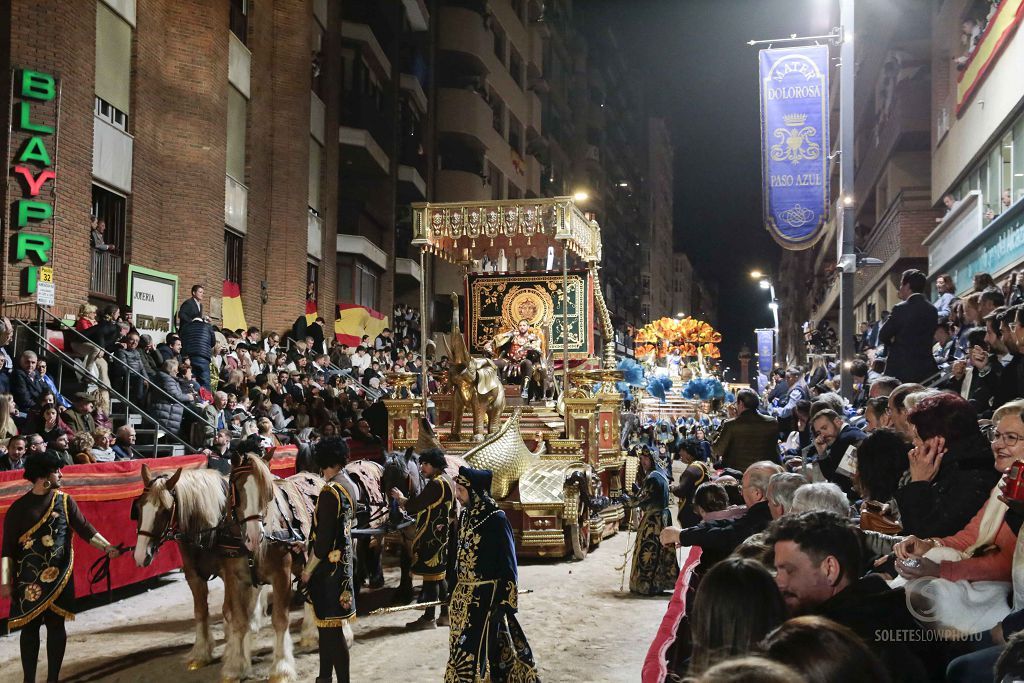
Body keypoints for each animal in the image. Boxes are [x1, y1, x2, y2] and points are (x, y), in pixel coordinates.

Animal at [228, 448, 323, 683]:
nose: (254, 536)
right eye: (237, 490)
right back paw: (309, 633)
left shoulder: (281, 575)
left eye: (268, 493)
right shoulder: (235, 579)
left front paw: (281, 668)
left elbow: (280, 620)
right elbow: (239, 621)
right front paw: (236, 666)